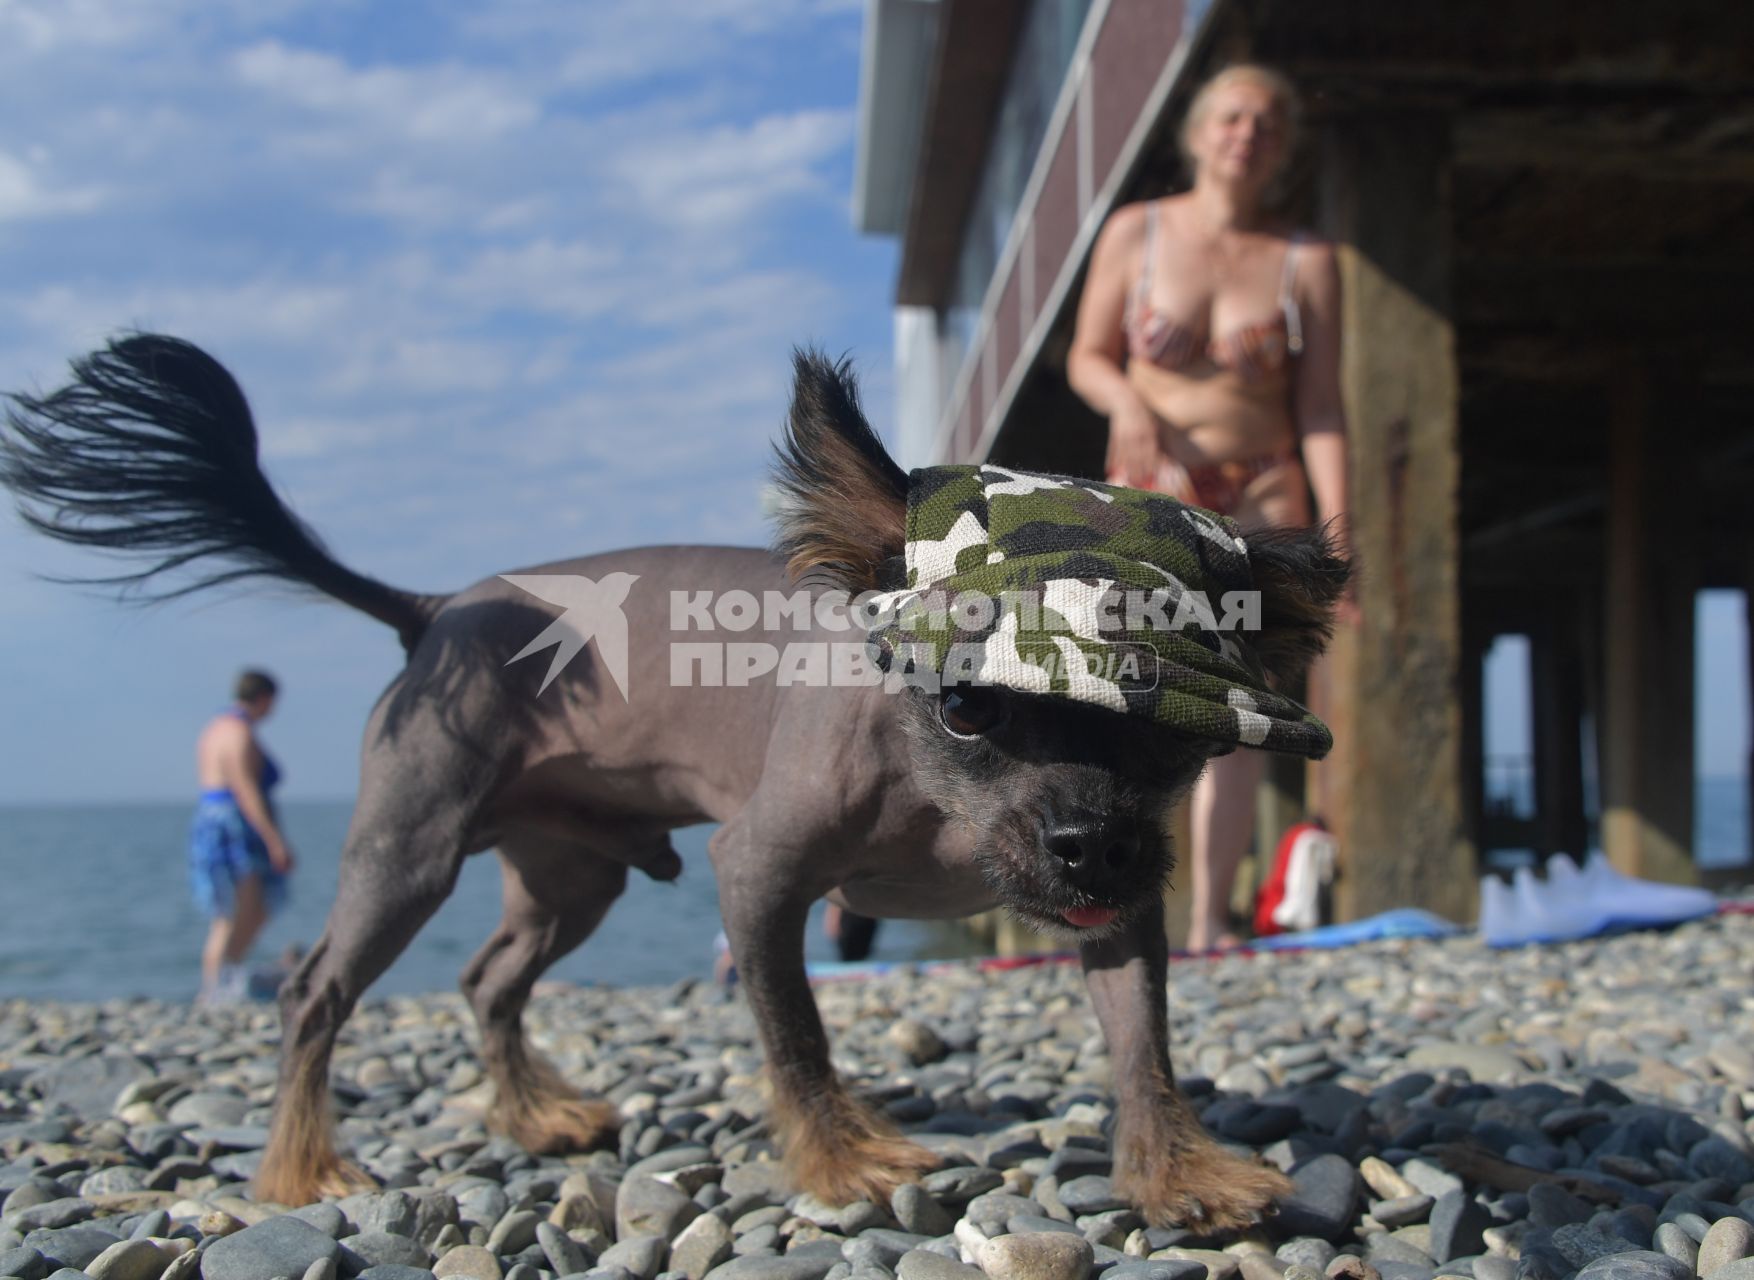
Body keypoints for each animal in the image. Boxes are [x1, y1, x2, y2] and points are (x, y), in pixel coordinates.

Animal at [3, 331, 1340, 1227]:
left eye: (1168, 740)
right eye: (965, 704)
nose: (1086, 845)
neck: (937, 801)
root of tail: (436, 608)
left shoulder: (1117, 914)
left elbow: (1140, 1042)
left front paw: (1174, 1167)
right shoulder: (756, 875)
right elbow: (795, 1033)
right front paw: (841, 1158)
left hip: (571, 877)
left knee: (489, 980)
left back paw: (535, 1114)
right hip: (405, 857)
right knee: (312, 992)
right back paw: (299, 1163)